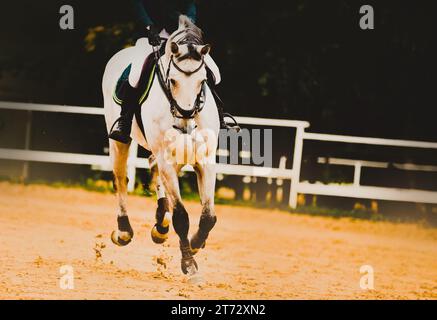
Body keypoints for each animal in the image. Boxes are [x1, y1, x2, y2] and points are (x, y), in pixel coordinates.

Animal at [101, 15, 218, 276]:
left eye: (203, 81)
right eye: (172, 80)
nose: (185, 119)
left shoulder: (205, 162)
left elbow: (208, 217)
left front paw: (196, 244)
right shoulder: (168, 161)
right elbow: (181, 216)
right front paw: (188, 263)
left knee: (152, 168)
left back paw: (160, 225)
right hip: (119, 142)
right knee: (121, 178)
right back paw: (124, 231)